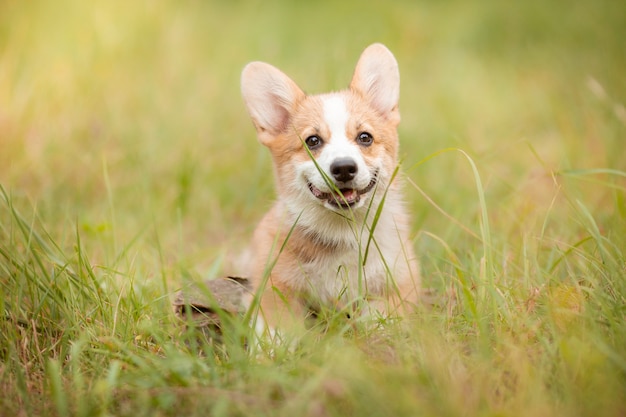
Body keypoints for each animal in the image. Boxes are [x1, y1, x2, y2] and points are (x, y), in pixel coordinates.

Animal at [239, 43, 420, 334]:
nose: (344, 168)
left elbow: (382, 320)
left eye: (365, 137)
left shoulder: (399, 285)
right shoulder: (272, 286)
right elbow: (279, 324)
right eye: (312, 141)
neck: (342, 231)